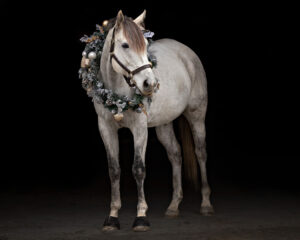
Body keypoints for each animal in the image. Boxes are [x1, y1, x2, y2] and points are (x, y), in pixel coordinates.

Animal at [84, 10, 213, 232]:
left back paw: (205, 203)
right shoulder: (106, 128)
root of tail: (187, 53)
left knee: (200, 153)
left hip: (196, 115)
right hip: (163, 124)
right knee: (175, 154)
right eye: (125, 45)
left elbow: (138, 169)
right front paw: (112, 217)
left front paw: (141, 217)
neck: (117, 90)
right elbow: (114, 170)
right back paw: (173, 205)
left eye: (145, 44)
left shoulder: (140, 129)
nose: (150, 84)